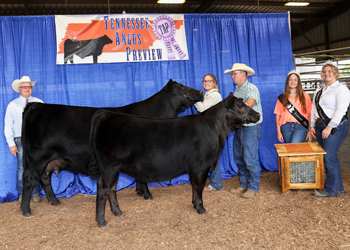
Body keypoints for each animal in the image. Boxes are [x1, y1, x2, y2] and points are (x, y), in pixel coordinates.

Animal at [21, 79, 202, 217]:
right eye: (182, 87)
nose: (200, 91)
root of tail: (35, 106)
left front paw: (139, 192)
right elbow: (142, 177)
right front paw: (147, 194)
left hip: (50, 159)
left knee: (45, 177)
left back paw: (54, 201)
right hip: (38, 157)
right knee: (29, 178)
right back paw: (26, 209)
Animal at [89, 93, 260, 227]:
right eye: (241, 106)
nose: (258, 115)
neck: (216, 130)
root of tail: (107, 114)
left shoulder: (194, 168)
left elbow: (193, 186)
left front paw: (194, 204)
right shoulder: (201, 166)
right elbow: (199, 187)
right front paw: (201, 208)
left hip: (113, 169)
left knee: (111, 188)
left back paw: (118, 211)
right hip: (109, 167)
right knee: (103, 189)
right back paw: (101, 221)